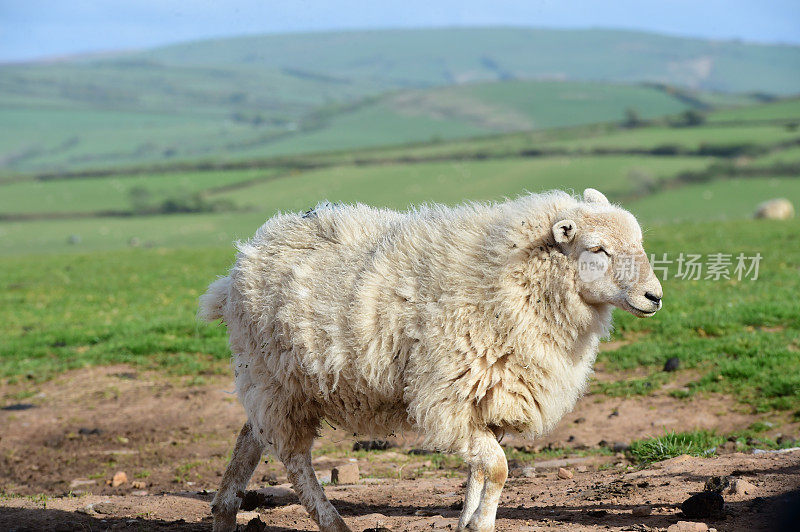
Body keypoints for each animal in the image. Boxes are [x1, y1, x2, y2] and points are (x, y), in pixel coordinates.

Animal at [200, 189, 664, 528]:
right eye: (598, 249)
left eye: (639, 243)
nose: (654, 296)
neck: (511, 281)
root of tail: (248, 254)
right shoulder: (448, 396)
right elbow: (497, 468)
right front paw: (480, 524)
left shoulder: (489, 396)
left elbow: (480, 471)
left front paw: (469, 523)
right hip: (278, 381)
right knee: (294, 459)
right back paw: (332, 523)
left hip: (273, 381)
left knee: (252, 434)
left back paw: (225, 512)